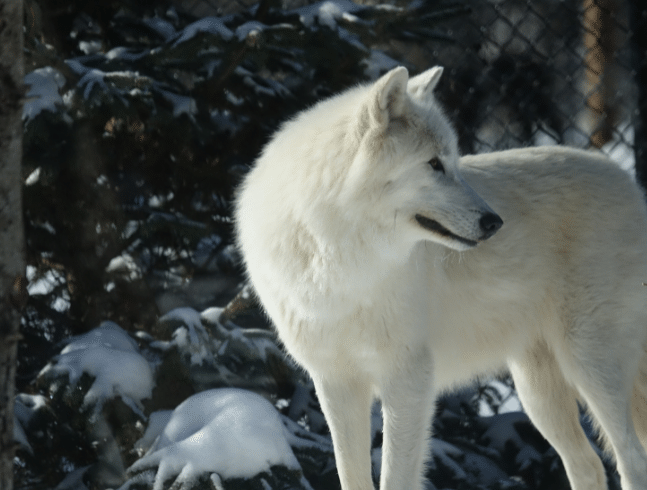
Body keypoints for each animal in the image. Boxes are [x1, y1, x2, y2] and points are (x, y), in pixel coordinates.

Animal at [235, 66, 647, 490]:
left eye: (454, 161)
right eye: (434, 164)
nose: (494, 222)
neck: (338, 265)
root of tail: (629, 183)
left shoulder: (408, 380)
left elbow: (395, 477)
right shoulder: (335, 385)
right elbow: (351, 475)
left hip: (589, 364)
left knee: (631, 459)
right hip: (538, 392)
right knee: (588, 464)